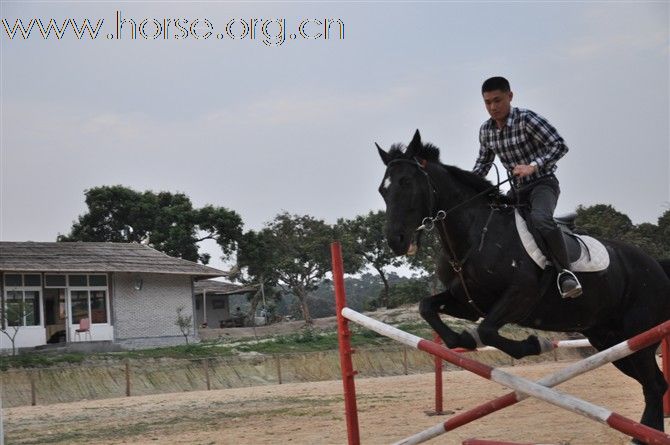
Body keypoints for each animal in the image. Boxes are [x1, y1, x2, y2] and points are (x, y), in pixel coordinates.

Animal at [378, 130, 670, 438]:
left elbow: (488, 331)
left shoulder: (521, 296)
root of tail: (656, 266)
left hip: (638, 336)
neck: (476, 234)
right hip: (609, 340)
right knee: (652, 384)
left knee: (654, 385)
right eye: (383, 190)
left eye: (407, 183)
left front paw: (535, 344)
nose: (396, 241)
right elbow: (428, 309)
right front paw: (465, 339)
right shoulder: (468, 303)